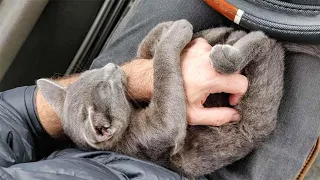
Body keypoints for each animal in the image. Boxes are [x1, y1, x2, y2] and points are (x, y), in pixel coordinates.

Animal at [35, 19, 284, 177]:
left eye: (94, 73)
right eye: (106, 84)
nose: (112, 66)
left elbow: (144, 52)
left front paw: (165, 30)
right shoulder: (153, 134)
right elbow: (164, 74)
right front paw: (178, 30)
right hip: (257, 107)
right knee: (265, 43)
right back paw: (235, 50)